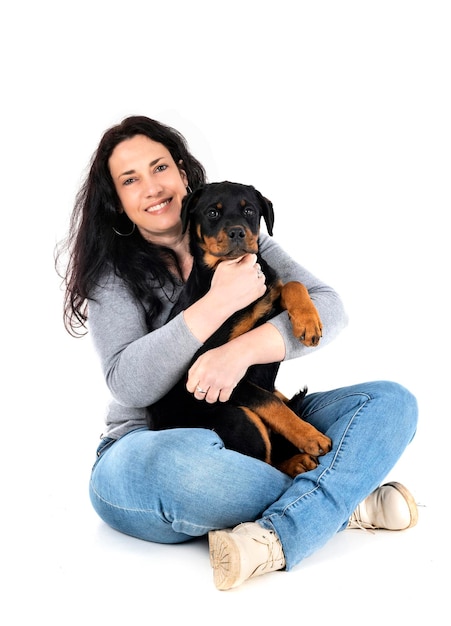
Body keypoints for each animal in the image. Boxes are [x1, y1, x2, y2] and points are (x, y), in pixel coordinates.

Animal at [147, 183, 332, 476]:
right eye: (212, 213)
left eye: (249, 211)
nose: (236, 232)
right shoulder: (222, 377)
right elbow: (270, 403)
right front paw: (310, 437)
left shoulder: (268, 300)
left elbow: (293, 284)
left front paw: (308, 323)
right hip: (237, 418)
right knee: (264, 464)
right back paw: (296, 460)